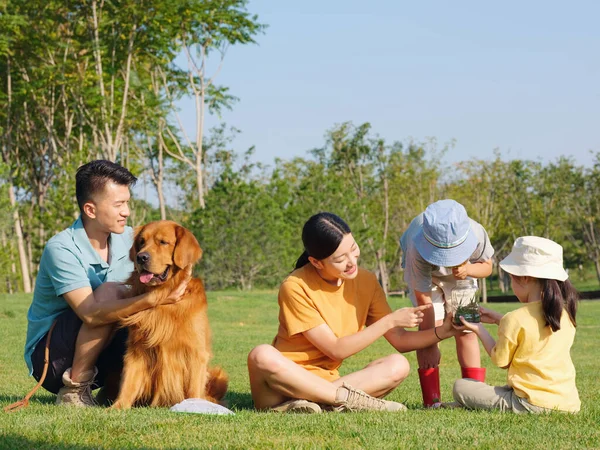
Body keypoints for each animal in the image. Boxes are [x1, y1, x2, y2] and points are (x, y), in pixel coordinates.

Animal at [112, 220, 227, 410]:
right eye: (141, 242)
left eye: (163, 242)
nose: (141, 257)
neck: (164, 299)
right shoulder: (137, 349)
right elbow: (129, 382)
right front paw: (117, 406)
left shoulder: (196, 352)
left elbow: (194, 388)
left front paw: (195, 406)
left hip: (219, 375)